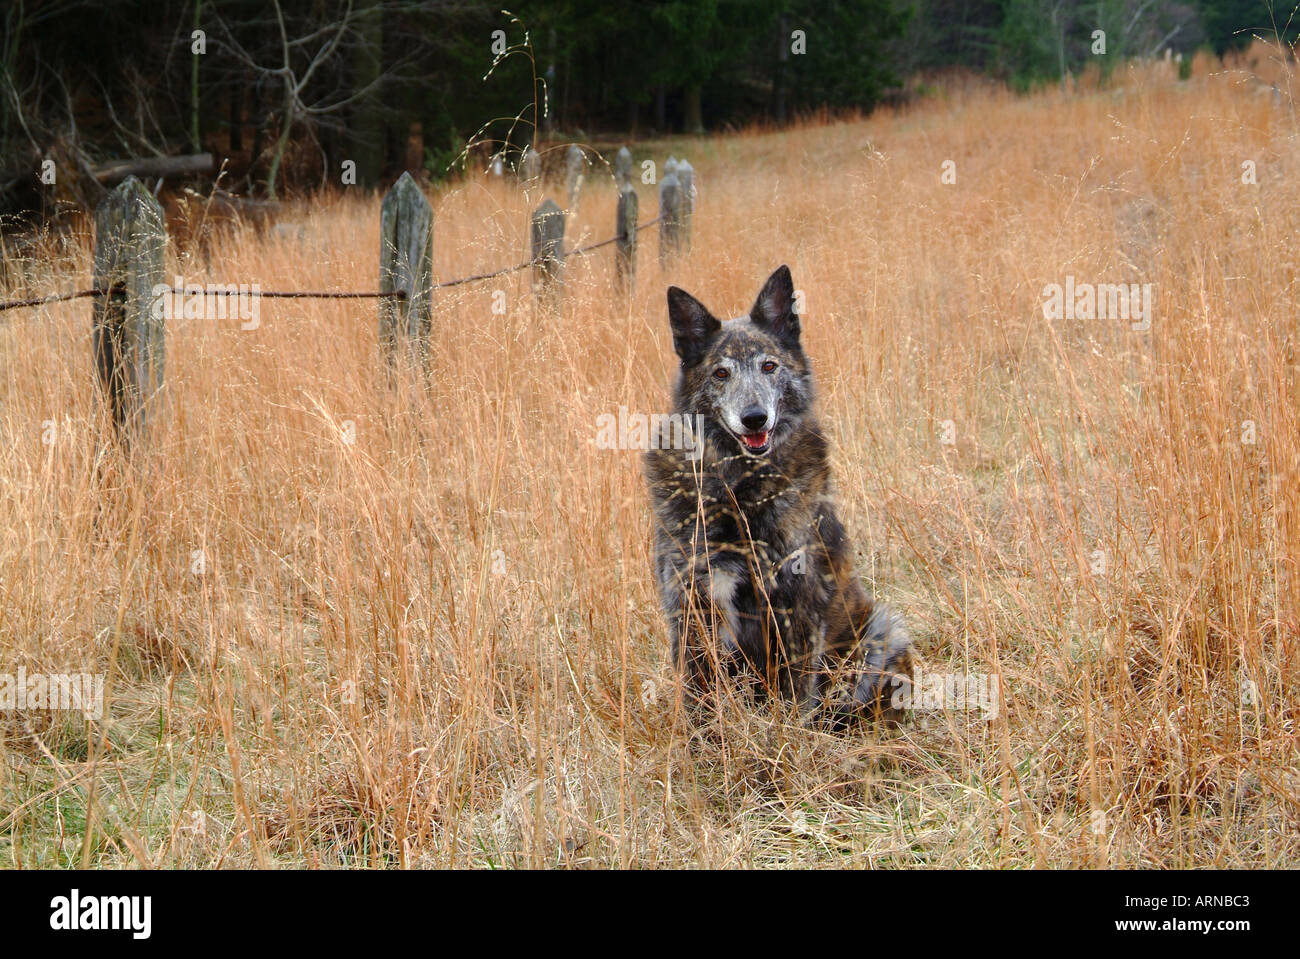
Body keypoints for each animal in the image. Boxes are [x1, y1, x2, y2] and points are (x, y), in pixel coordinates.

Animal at [642, 263, 909, 722]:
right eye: (721, 373)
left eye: (769, 366)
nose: (754, 418)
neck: (738, 489)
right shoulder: (691, 604)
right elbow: (699, 696)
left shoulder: (795, 603)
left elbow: (792, 696)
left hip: (882, 630)